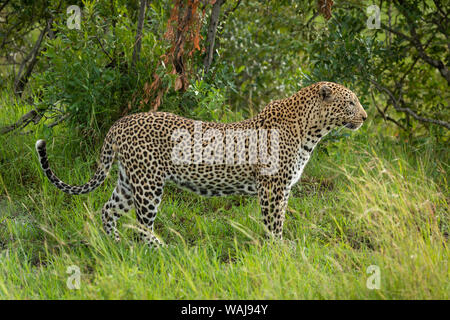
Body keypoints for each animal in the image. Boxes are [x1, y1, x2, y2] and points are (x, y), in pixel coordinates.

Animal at [34, 81, 366, 246]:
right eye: (350, 102)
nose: (364, 117)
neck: (311, 130)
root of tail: (120, 122)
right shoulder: (273, 187)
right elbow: (274, 222)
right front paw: (279, 250)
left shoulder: (279, 188)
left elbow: (276, 221)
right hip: (149, 185)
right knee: (141, 227)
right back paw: (161, 250)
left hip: (129, 181)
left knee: (108, 210)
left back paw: (117, 245)